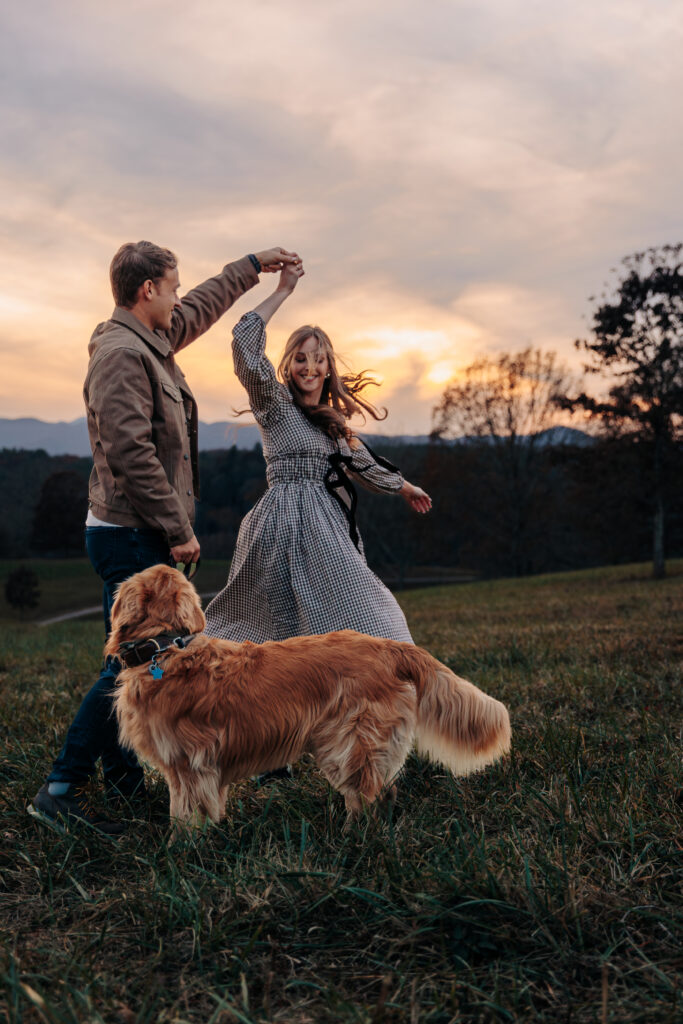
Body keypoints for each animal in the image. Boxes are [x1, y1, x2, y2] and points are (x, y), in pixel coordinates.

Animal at [107, 565, 509, 827]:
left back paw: (354, 837)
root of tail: (388, 647)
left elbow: (184, 816)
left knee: (368, 795)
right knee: (382, 791)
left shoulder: (189, 765)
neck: (164, 648)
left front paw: (184, 855)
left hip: (350, 742)